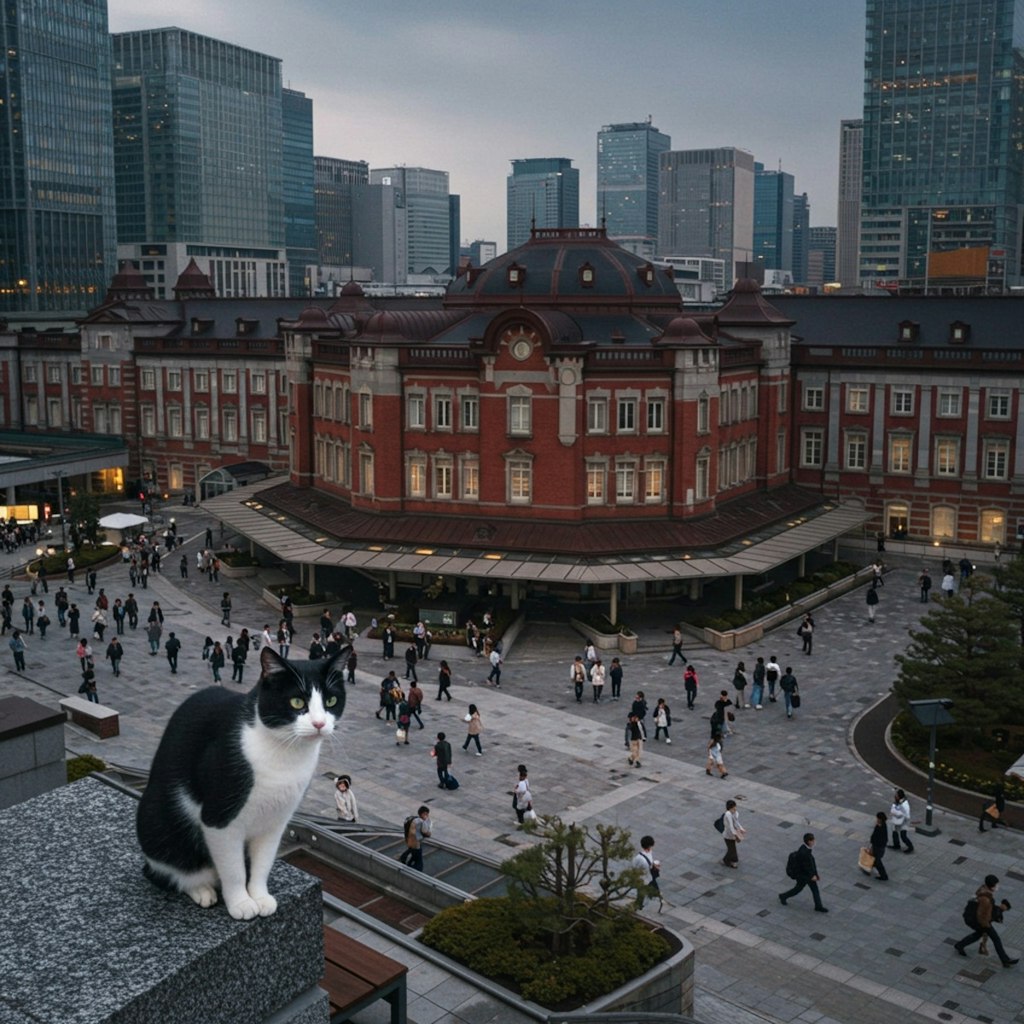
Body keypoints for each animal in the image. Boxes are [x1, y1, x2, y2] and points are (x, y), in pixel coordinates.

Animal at [136, 647, 348, 921]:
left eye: (331, 701)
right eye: (297, 702)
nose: (320, 724)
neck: (285, 755)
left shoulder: (276, 820)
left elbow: (263, 863)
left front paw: (259, 896)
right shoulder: (220, 818)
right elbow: (233, 869)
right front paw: (241, 903)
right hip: (157, 826)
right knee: (171, 870)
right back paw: (202, 890)